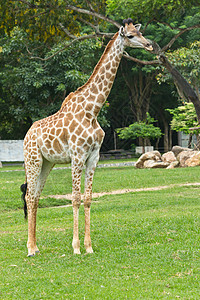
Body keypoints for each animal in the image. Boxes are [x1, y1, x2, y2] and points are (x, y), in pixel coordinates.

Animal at [20, 18, 152, 255]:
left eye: (140, 32)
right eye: (130, 35)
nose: (149, 45)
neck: (93, 110)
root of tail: (27, 135)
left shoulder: (94, 156)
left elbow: (88, 198)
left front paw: (89, 246)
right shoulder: (77, 156)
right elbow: (75, 198)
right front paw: (76, 247)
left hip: (47, 163)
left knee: (35, 196)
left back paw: (35, 246)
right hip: (32, 160)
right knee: (29, 195)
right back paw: (30, 248)